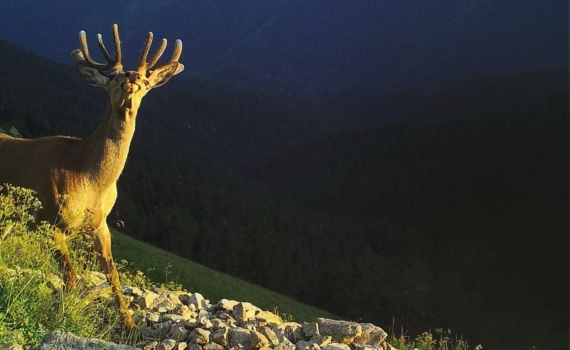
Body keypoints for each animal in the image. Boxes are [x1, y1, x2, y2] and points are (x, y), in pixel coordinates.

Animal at [0, 24, 184, 328]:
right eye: (112, 75)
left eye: (146, 79)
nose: (131, 77)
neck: (90, 181)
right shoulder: (49, 219)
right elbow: (71, 277)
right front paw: (61, 315)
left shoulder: (102, 225)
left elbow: (114, 276)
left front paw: (130, 326)